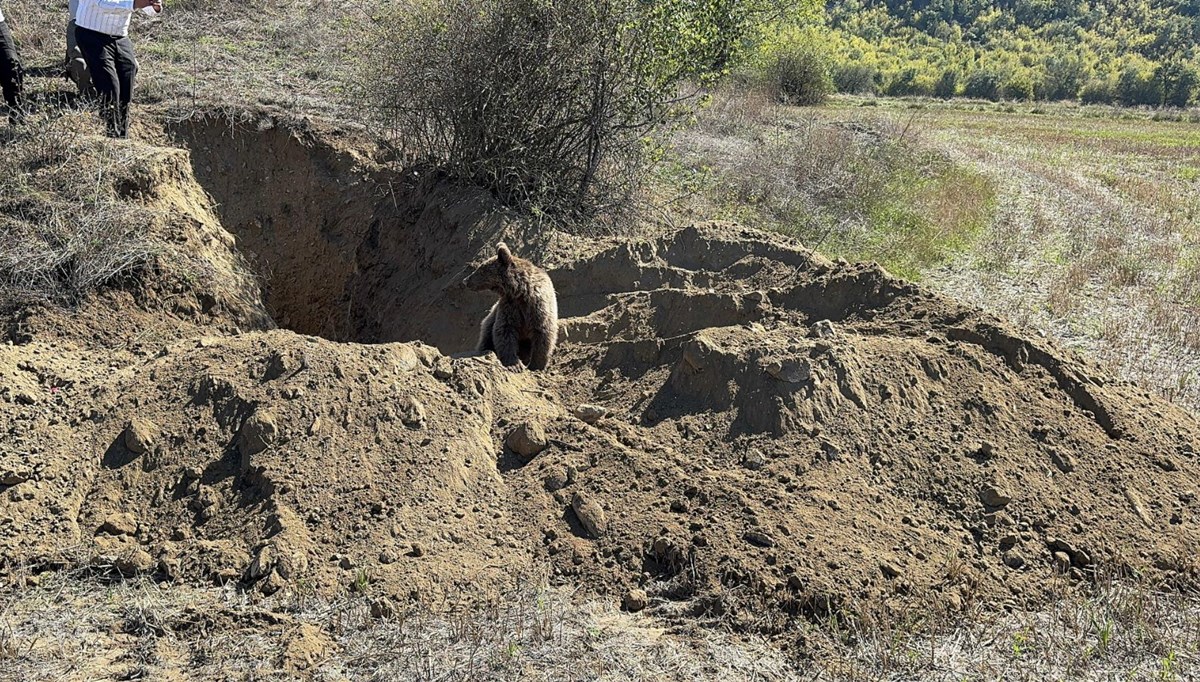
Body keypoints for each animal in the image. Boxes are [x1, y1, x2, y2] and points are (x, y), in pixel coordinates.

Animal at [460, 243, 559, 372]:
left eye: (481, 269)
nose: (465, 280)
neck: (520, 292)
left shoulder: (537, 308)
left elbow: (543, 333)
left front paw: (536, 365)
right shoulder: (509, 307)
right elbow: (505, 330)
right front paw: (515, 364)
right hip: (490, 319)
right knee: (486, 335)